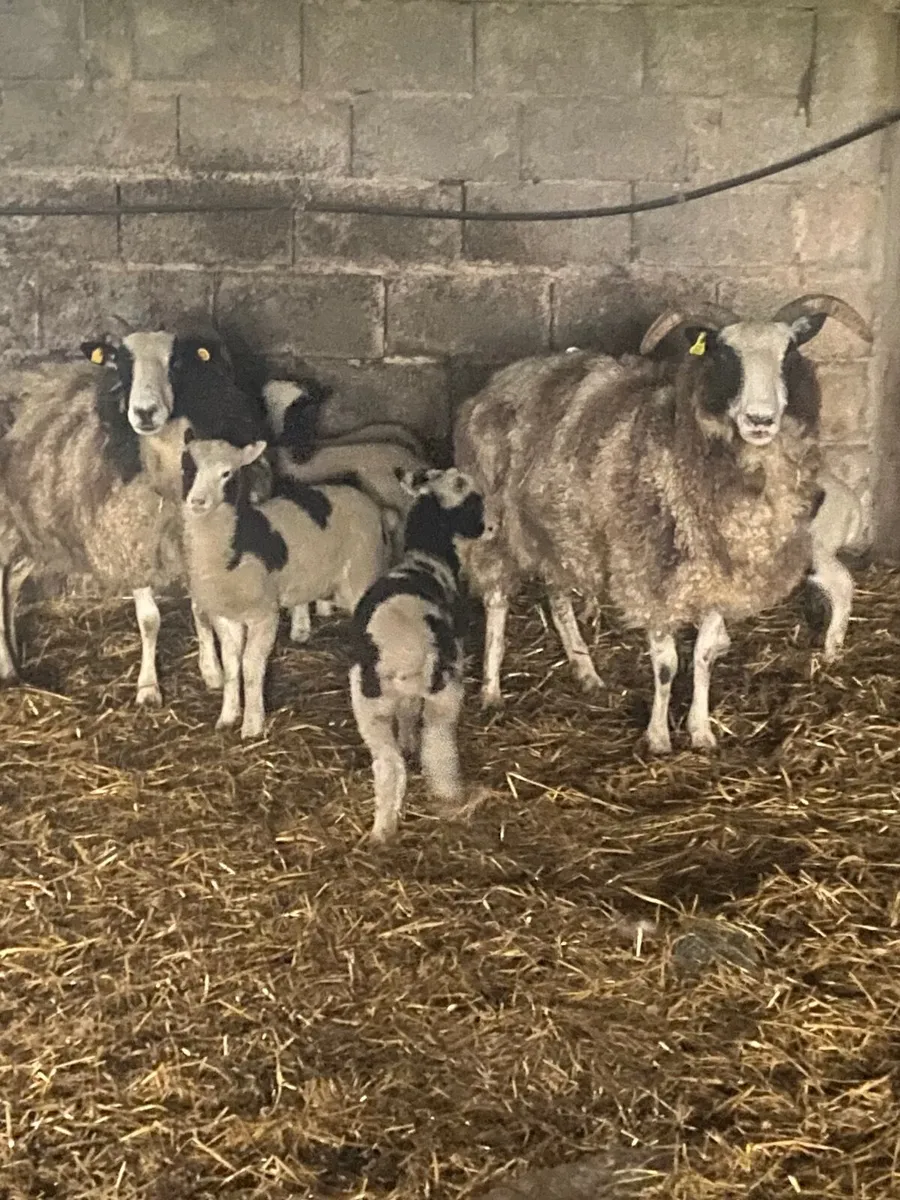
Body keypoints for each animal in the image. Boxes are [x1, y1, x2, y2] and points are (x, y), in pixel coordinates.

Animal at [181, 432, 391, 739]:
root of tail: (357, 493)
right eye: (187, 468)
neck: (234, 547)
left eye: (226, 473)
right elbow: (232, 665)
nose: (197, 502)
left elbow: (251, 668)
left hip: (362, 573)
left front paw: (252, 725)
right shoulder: (225, 616)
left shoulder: (264, 615)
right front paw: (228, 716)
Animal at [348, 467, 485, 844]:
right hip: (444, 690)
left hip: (368, 705)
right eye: (474, 502)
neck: (425, 558)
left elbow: (408, 715)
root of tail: (399, 648)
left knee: (388, 764)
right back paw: (450, 796)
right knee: (437, 747)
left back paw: (383, 829)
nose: (488, 528)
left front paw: (407, 739)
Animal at [453, 294, 871, 754]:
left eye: (789, 352)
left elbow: (703, 656)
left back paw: (586, 672)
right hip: (495, 524)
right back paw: (492, 689)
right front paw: (657, 738)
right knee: (496, 599)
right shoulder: (650, 571)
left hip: (559, 529)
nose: (760, 420)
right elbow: (667, 665)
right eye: (725, 355)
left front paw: (701, 731)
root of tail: (510, 375)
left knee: (557, 597)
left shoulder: (716, 576)